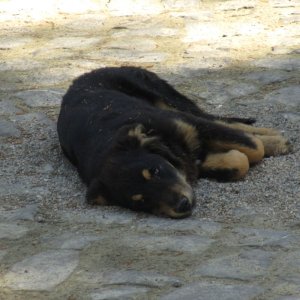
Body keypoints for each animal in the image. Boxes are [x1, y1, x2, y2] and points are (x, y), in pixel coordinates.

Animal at [56, 66, 290, 218]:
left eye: (155, 171)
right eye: (140, 201)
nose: (182, 205)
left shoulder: (186, 124)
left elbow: (254, 147)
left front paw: (270, 143)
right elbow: (237, 162)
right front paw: (228, 158)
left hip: (168, 100)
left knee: (219, 119)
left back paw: (275, 137)